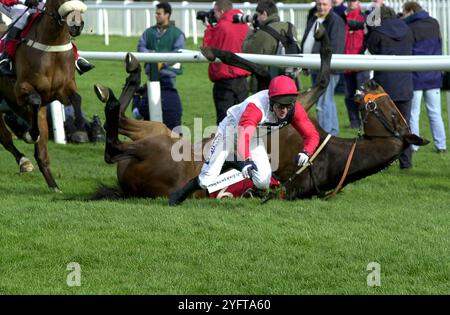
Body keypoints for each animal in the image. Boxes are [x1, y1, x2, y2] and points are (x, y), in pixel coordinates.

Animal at [0, 0, 87, 193]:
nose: (76, 25)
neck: (52, 44)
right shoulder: (21, 89)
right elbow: (35, 100)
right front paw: (30, 133)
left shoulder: (64, 90)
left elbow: (76, 98)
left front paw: (80, 126)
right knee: (5, 138)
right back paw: (24, 160)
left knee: (41, 154)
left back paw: (54, 186)